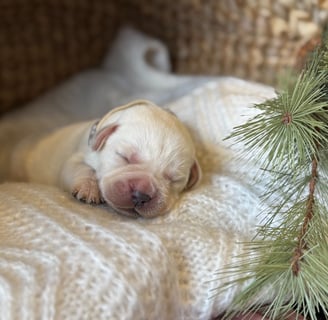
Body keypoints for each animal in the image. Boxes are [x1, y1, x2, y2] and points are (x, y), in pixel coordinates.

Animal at [11, 101, 201, 219]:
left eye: (174, 179)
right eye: (124, 157)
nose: (141, 195)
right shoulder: (77, 155)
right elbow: (82, 168)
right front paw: (88, 189)